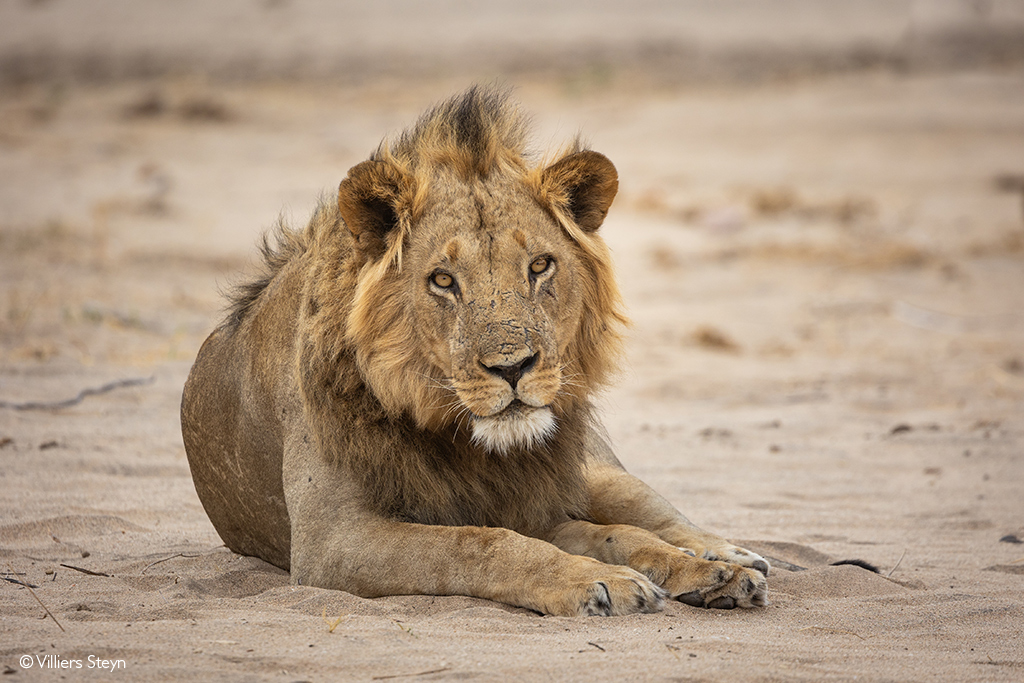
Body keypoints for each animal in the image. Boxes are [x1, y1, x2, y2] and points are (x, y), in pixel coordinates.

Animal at [180, 85, 770, 614]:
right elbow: (482, 543)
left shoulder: (533, 501)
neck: (469, 442)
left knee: (652, 516)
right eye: (443, 280)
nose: (513, 368)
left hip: (595, 468)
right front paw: (596, 582)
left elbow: (615, 534)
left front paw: (679, 568)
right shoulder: (331, 542)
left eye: (540, 266)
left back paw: (726, 564)